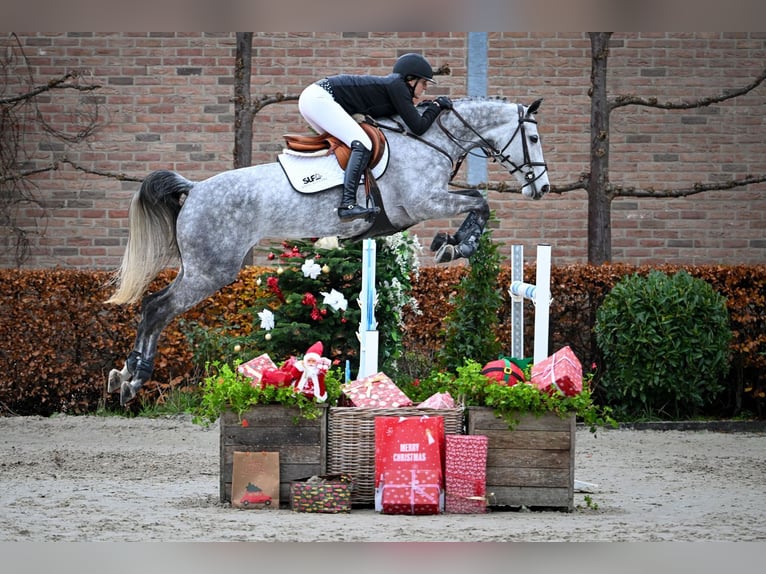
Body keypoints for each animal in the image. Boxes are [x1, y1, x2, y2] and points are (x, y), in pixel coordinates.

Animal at [108, 97, 552, 408]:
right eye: (532, 139)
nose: (542, 188)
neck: (433, 141)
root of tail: (195, 188)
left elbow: (477, 201)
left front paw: (452, 243)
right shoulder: (423, 202)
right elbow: (480, 201)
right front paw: (457, 244)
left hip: (200, 268)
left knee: (153, 306)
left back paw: (123, 377)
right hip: (212, 270)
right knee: (158, 308)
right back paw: (134, 379)